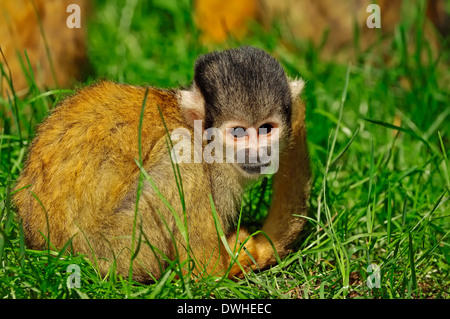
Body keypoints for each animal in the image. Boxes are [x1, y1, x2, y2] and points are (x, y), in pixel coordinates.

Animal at [13, 45, 310, 282]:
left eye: (266, 129)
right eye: (238, 132)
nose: (257, 152)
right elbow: (202, 269)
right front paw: (222, 265)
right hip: (118, 246)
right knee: (180, 152)